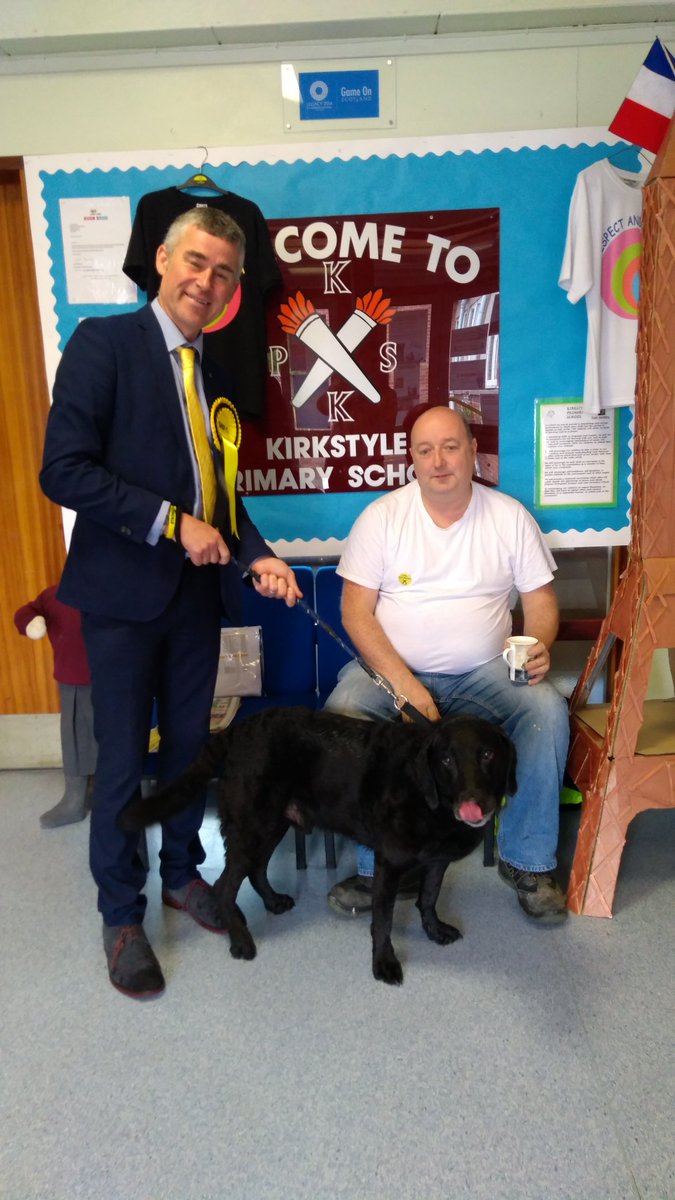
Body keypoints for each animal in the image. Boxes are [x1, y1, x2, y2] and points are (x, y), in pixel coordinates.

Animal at [120, 707, 516, 985]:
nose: (474, 801)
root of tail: (236, 730)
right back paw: (241, 941)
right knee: (224, 885)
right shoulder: (388, 863)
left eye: (488, 755)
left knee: (256, 870)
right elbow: (383, 920)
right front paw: (384, 963)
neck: (430, 799)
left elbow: (429, 898)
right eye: (447, 760)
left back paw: (273, 902)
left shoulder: (437, 861)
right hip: (253, 825)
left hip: (274, 823)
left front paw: (434, 931)